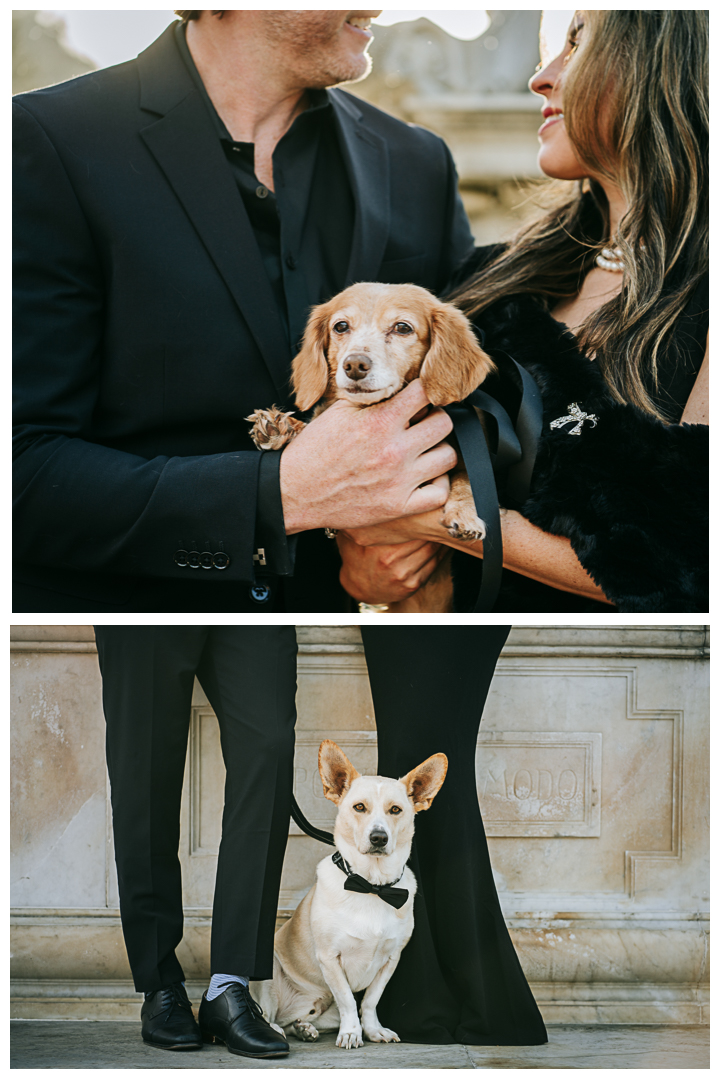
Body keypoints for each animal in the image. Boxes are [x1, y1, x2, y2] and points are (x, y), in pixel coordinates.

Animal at [248, 282, 496, 613]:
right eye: (341, 326)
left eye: (402, 327)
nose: (354, 365)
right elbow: (311, 424)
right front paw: (281, 427)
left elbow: (466, 477)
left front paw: (466, 513)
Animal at [250, 738, 446, 1049]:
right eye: (359, 807)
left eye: (395, 810)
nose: (379, 837)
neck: (372, 886)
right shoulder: (330, 958)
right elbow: (347, 1001)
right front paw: (353, 1032)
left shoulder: (391, 959)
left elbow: (369, 1001)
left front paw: (373, 1030)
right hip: (266, 974)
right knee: (267, 1013)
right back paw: (274, 1030)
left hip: (321, 1012)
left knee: (298, 1021)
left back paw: (304, 1028)